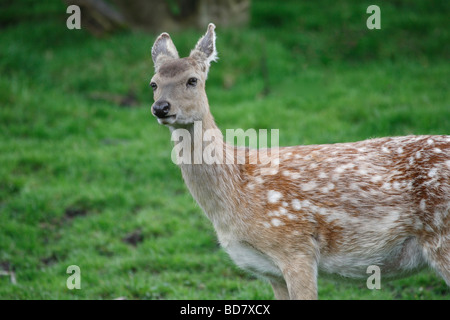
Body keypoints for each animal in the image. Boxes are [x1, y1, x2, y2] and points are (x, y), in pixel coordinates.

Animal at [150, 23, 450, 300]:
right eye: (153, 83)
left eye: (192, 80)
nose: (160, 107)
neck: (237, 192)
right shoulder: (270, 271)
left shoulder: (295, 248)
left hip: (443, 238)